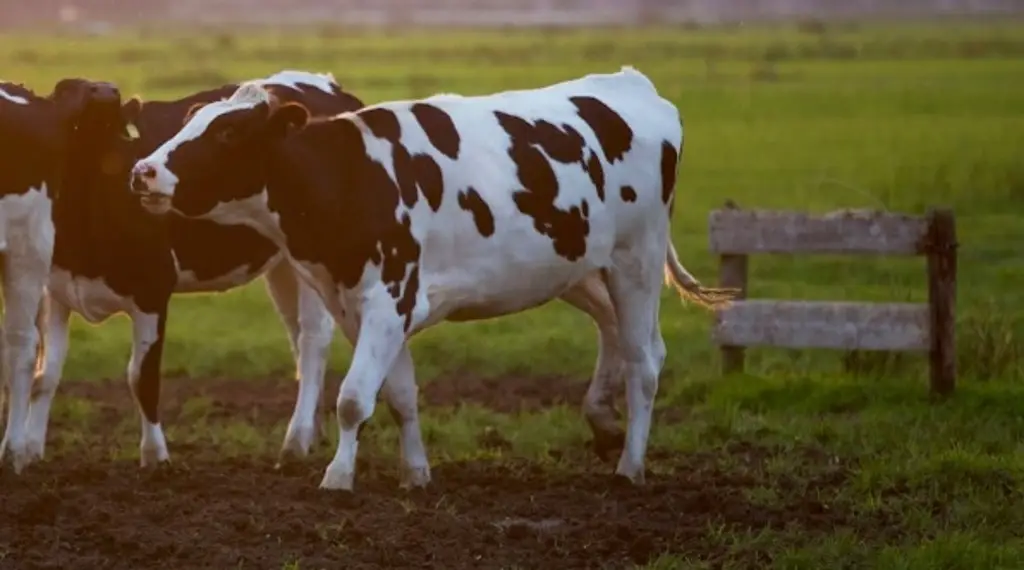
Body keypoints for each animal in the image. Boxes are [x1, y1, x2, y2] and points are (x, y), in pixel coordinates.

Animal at [19, 71, 366, 470]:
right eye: (64, 90)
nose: (105, 91)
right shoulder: (55, 290)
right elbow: (45, 375)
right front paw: (30, 450)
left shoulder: (153, 290)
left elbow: (142, 377)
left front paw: (155, 457)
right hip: (284, 265)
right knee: (297, 338)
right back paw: (313, 432)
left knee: (312, 340)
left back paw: (296, 440)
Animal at [128, 65, 741, 489]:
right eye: (191, 121)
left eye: (229, 134)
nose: (143, 171)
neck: (350, 176)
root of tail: (632, 85)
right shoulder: (363, 307)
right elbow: (398, 395)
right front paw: (415, 473)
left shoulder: (388, 299)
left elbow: (353, 398)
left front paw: (338, 477)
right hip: (579, 269)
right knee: (616, 332)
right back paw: (603, 423)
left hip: (636, 259)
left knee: (645, 362)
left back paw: (630, 465)